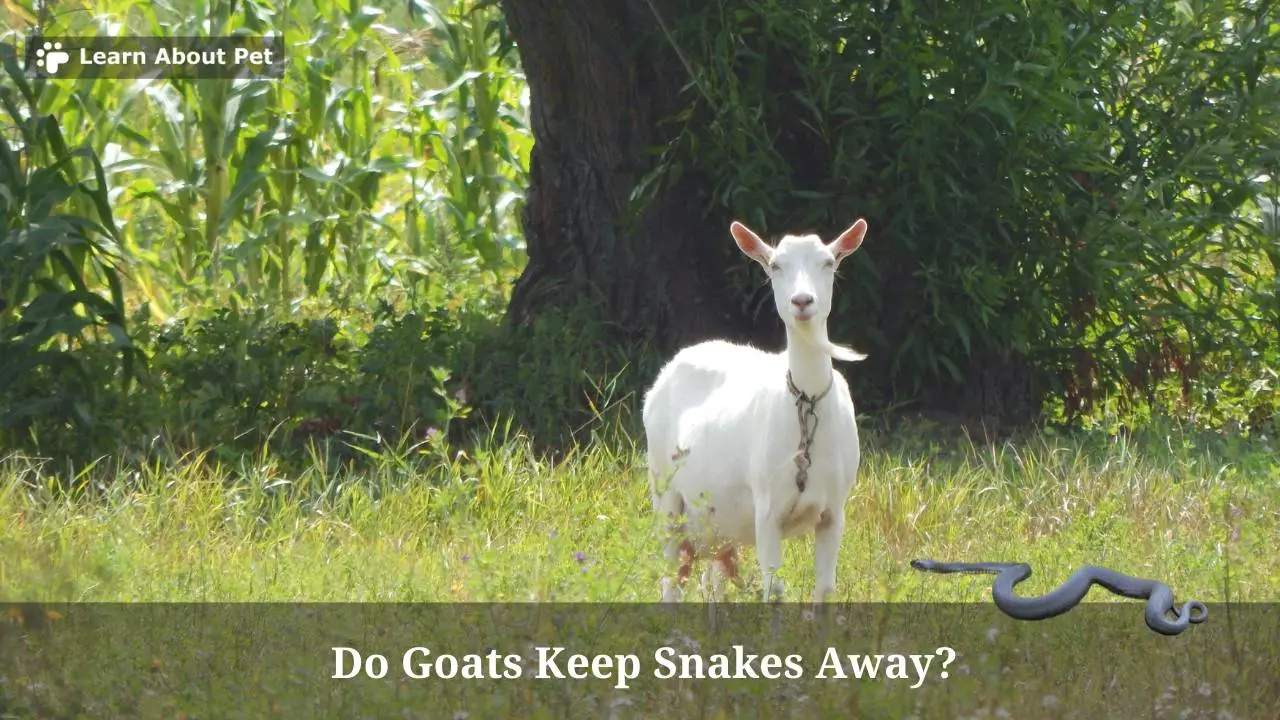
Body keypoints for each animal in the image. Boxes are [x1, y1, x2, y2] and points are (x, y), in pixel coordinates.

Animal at [642, 218, 868, 603]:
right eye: (775, 265)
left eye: (828, 262)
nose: (802, 301)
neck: (806, 404)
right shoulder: (767, 507)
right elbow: (774, 589)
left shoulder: (834, 510)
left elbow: (825, 589)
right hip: (666, 492)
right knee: (671, 580)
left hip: (718, 519)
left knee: (711, 583)